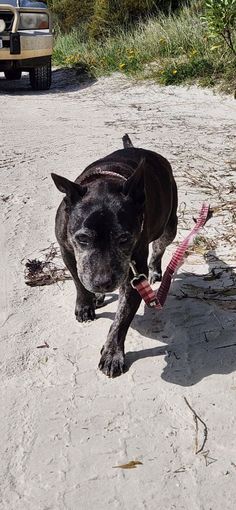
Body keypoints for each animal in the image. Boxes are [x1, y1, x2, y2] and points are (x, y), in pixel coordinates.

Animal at [51, 135, 177, 378]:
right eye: (82, 238)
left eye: (124, 239)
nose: (103, 282)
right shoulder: (67, 251)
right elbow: (79, 282)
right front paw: (85, 304)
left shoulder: (134, 276)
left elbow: (121, 319)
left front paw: (112, 353)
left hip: (169, 226)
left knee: (160, 246)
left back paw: (156, 269)